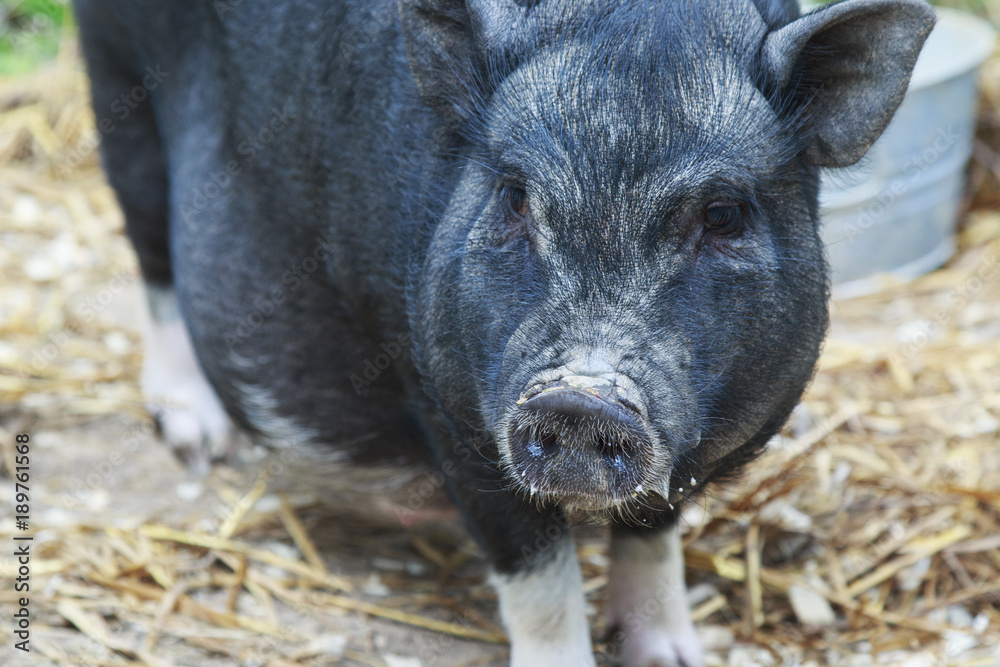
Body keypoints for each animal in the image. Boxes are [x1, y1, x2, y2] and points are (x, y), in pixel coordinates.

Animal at [73, 0, 933, 664]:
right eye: (515, 196)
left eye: (722, 215)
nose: (581, 398)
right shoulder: (449, 410)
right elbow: (536, 571)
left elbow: (653, 533)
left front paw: (674, 654)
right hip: (117, 81)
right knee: (151, 249)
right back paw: (197, 439)